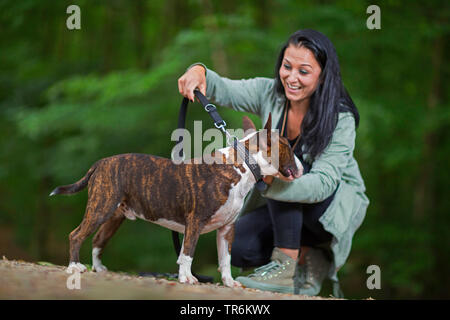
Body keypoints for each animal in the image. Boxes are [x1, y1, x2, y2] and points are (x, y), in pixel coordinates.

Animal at [50, 113, 302, 288]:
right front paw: (186, 278)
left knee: (98, 239)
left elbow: (225, 259)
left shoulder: (227, 229)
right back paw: (75, 266)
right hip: (100, 208)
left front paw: (229, 282)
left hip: (114, 215)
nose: (302, 166)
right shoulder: (195, 222)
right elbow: (187, 253)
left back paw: (99, 268)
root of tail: (100, 163)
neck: (242, 164)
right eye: (289, 147)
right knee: (76, 235)